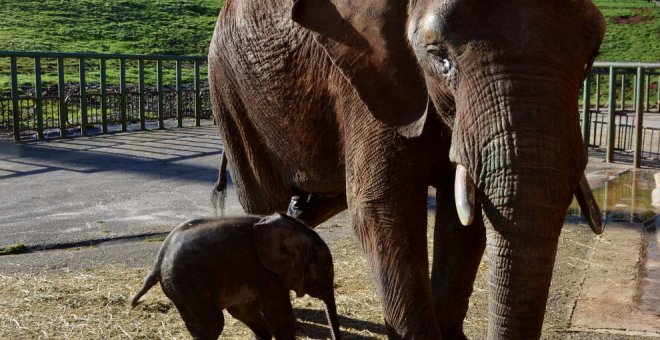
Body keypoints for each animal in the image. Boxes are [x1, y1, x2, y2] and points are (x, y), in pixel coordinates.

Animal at [132, 214, 342, 340]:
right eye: (325, 270)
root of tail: (158, 261)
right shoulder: (265, 274)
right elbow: (279, 318)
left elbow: (243, 311)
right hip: (185, 284)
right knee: (212, 325)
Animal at [209, 0, 604, 338]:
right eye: (440, 58)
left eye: (591, 58)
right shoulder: (368, 80)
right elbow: (383, 208)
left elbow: (464, 215)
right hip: (230, 92)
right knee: (263, 200)